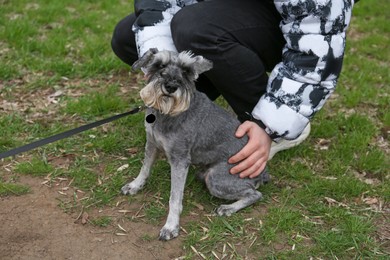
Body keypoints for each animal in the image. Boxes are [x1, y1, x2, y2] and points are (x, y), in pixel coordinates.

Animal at [121, 48, 268, 240]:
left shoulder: (180, 160)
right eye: (159, 66)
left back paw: (228, 208)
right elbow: (145, 169)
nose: (170, 86)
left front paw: (171, 226)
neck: (167, 112)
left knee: (255, 194)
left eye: (186, 71)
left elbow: (175, 197)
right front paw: (134, 186)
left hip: (216, 179)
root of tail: (263, 172)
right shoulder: (152, 143)